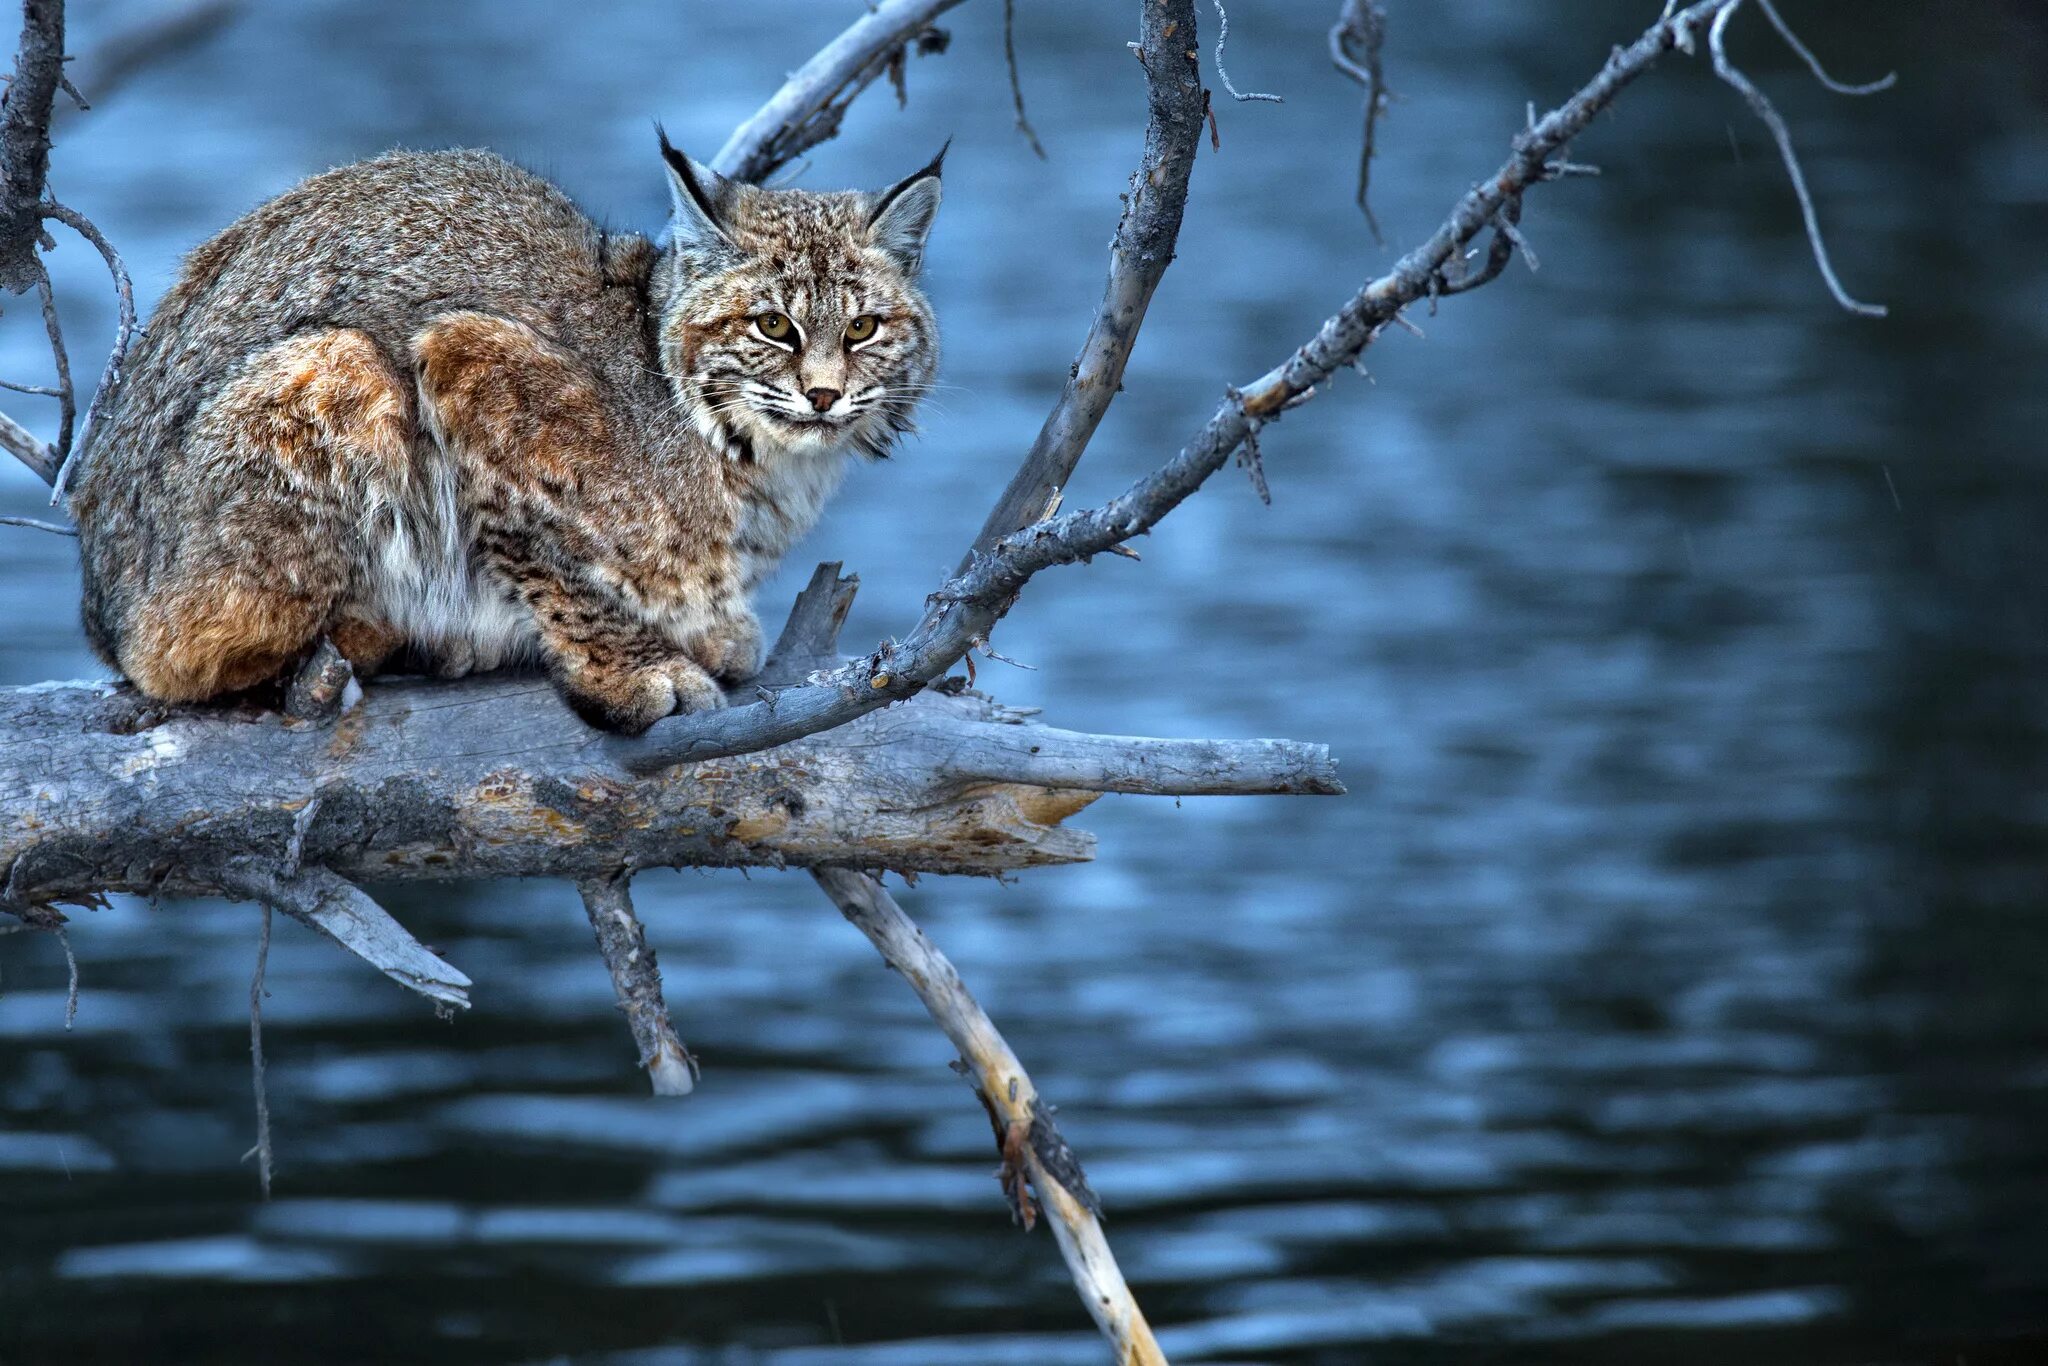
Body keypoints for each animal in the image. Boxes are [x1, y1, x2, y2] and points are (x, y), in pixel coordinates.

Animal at [68, 136, 946, 737]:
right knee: (178, 664)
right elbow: (545, 550)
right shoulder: (464, 353)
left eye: (863, 328)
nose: (825, 396)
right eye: (773, 327)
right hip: (338, 362)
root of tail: (101, 602)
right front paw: (633, 671)